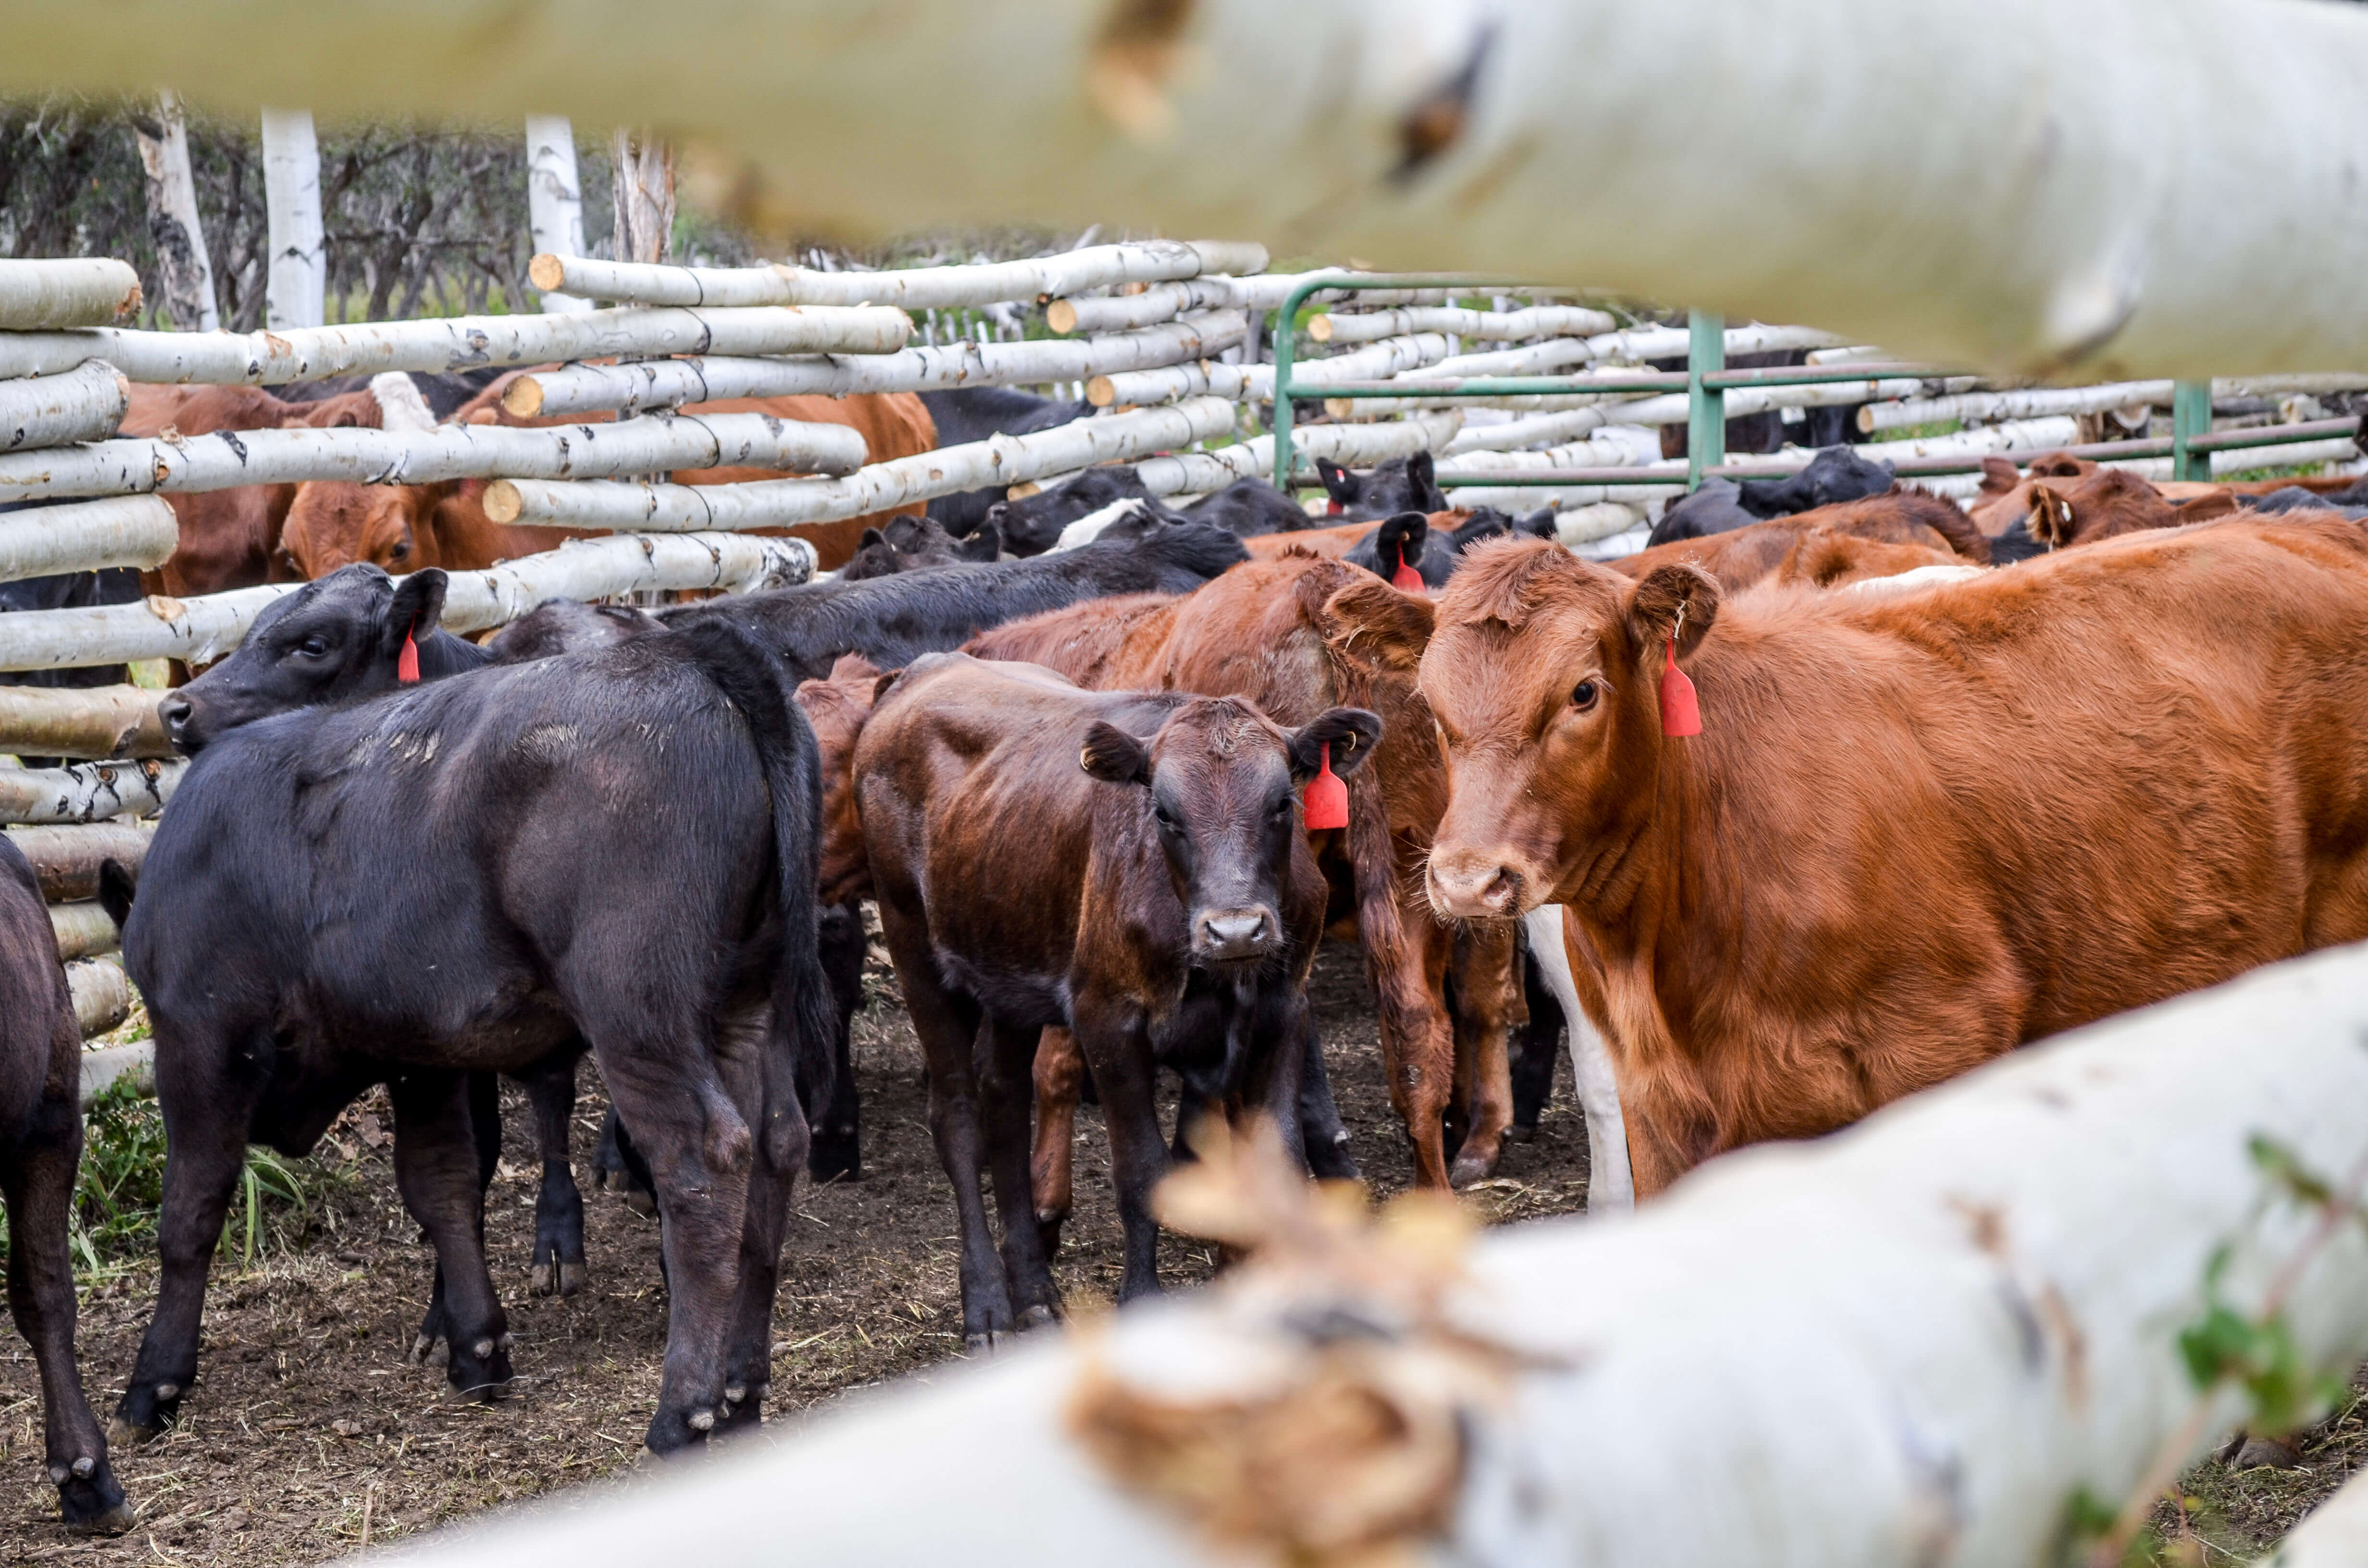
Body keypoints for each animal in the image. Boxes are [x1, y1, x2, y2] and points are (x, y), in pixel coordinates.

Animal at [112, 611, 835, 1454]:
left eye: (311, 644)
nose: (178, 712)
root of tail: (696, 655)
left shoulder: (198, 1033)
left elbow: (191, 1209)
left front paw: (156, 1380)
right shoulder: (415, 1049)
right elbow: (442, 1182)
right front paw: (477, 1348)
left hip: (639, 1012)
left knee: (702, 1161)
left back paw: (681, 1414)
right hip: (748, 1007)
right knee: (777, 1148)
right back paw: (742, 1391)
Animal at [855, 652, 1378, 1337]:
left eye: (1282, 802)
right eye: (1163, 813)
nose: (1236, 929)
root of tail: (926, 667)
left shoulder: (1282, 1011)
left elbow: (1276, 1156)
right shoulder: (1108, 1023)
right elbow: (1142, 1171)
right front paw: (1142, 1304)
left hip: (1008, 976)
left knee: (1003, 1105)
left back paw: (1033, 1292)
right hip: (913, 947)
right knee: (958, 1117)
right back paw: (988, 1303)